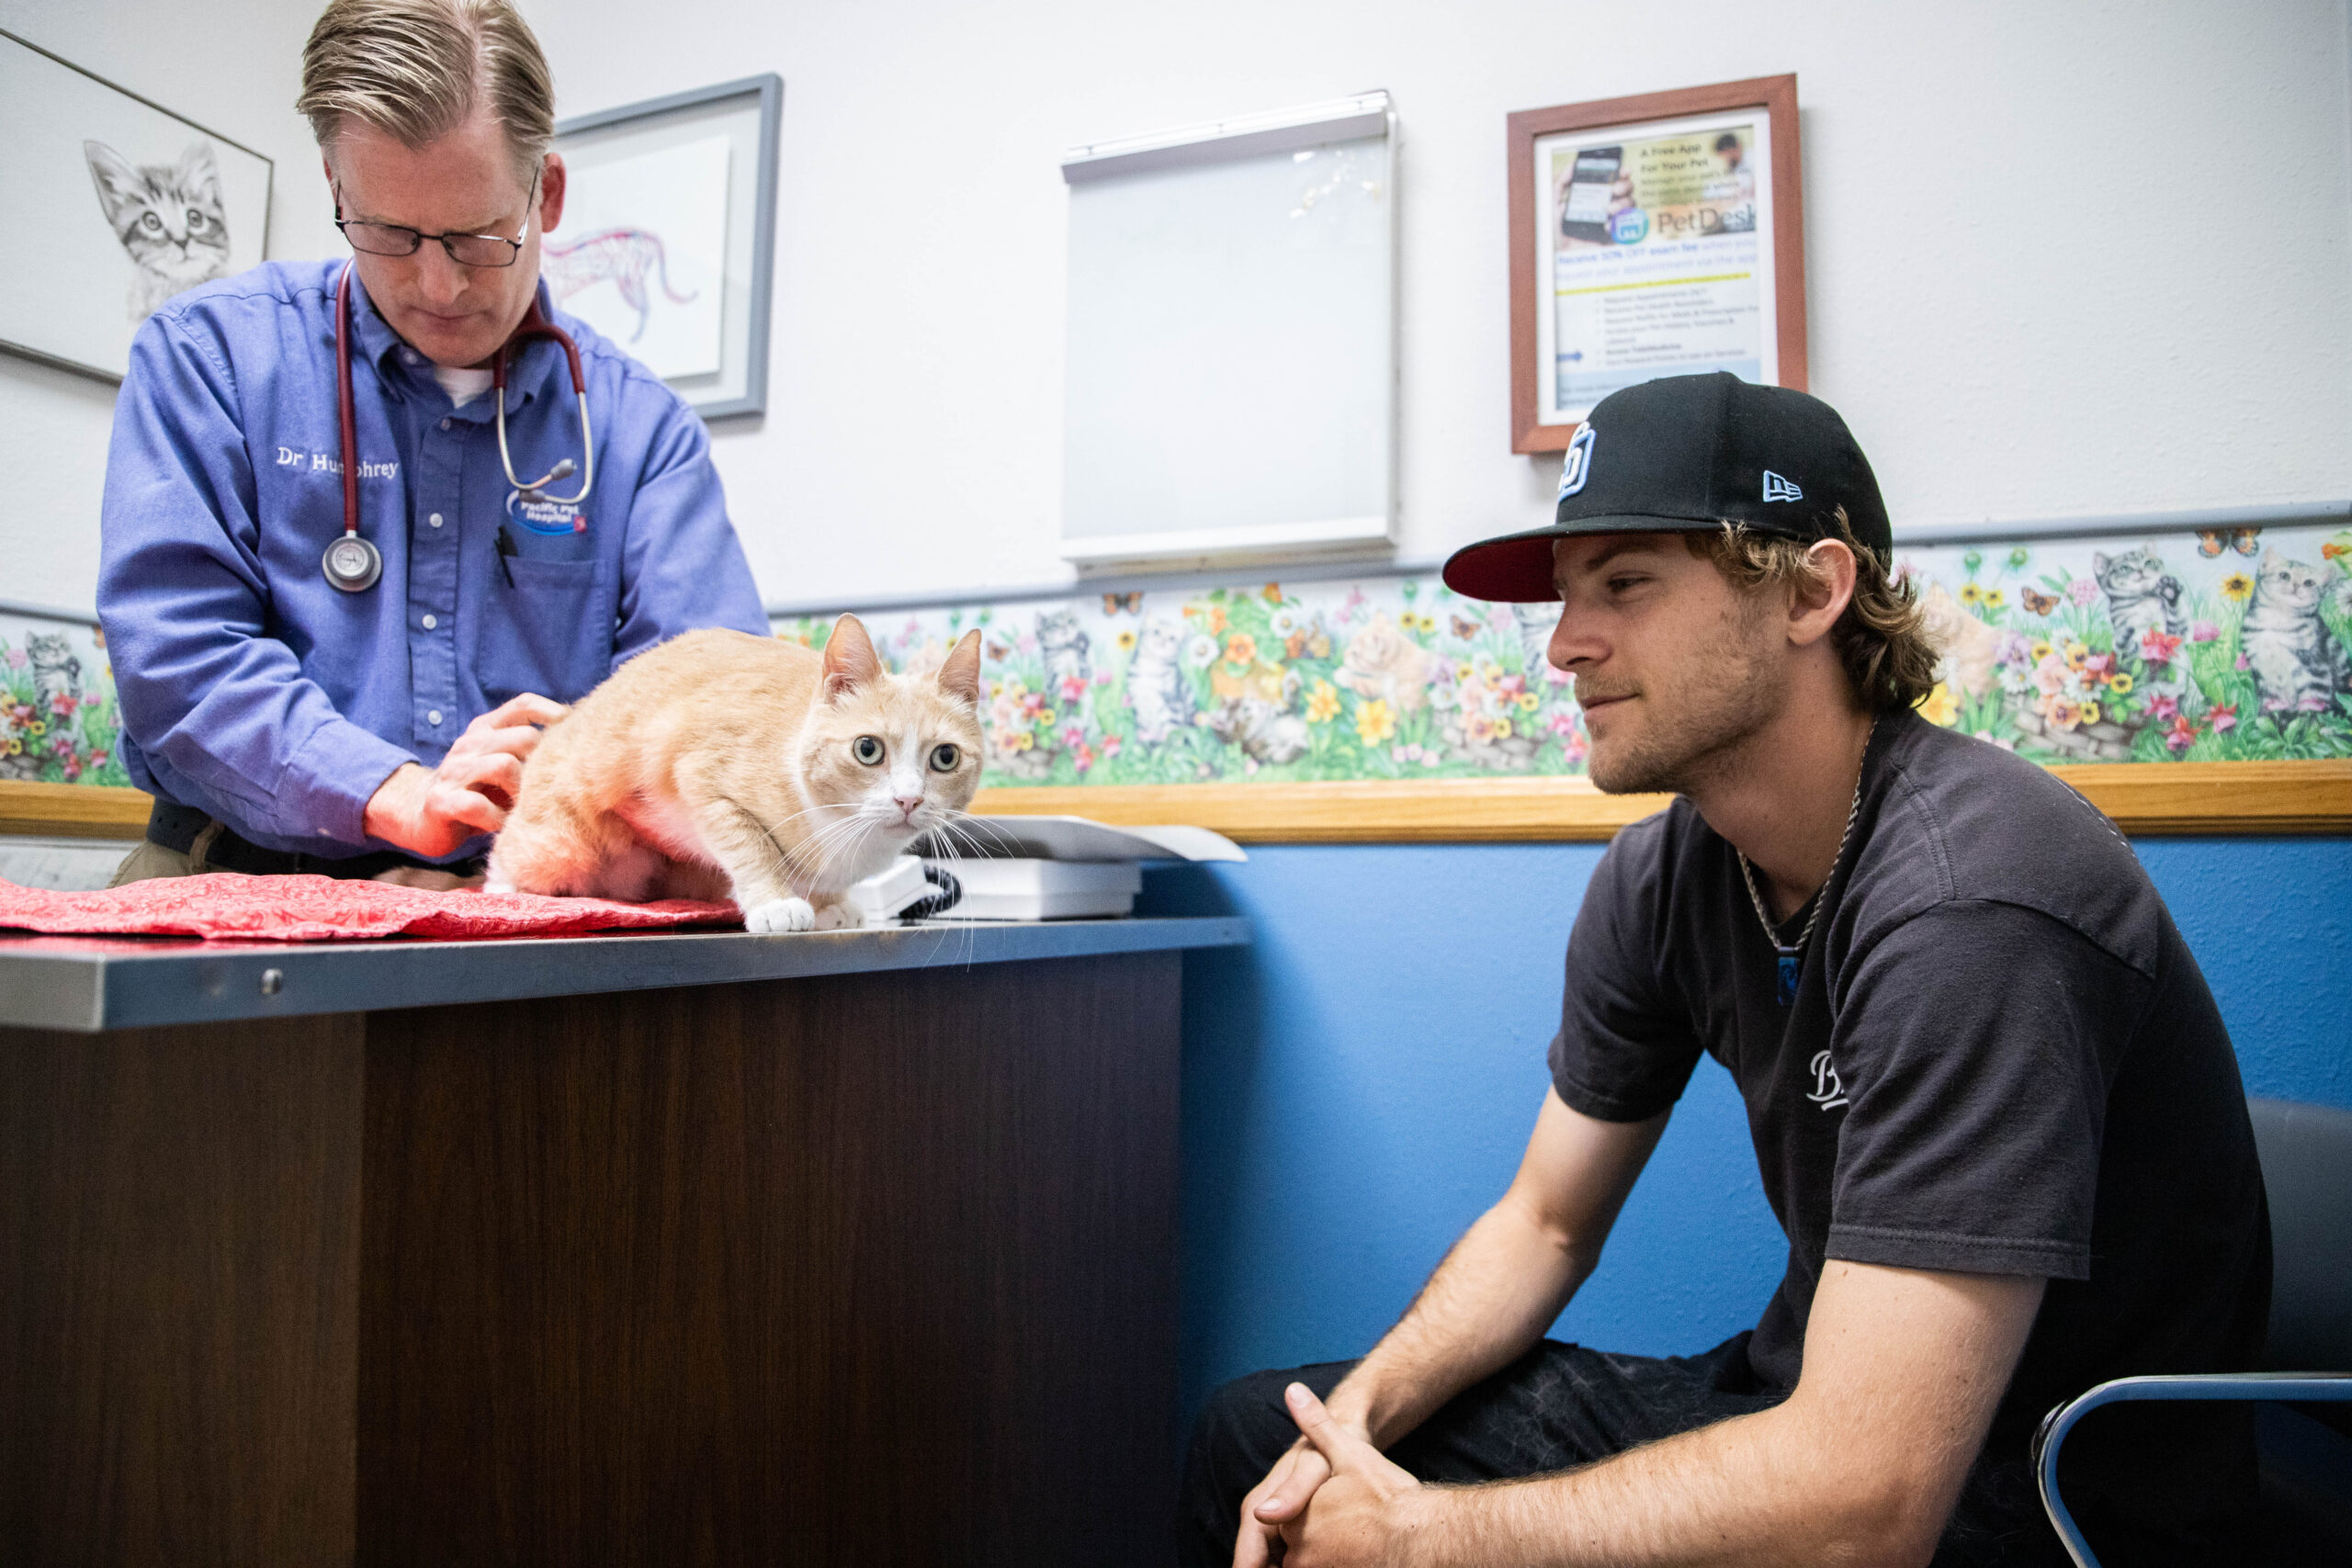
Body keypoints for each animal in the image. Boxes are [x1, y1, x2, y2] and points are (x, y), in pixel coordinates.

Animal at [486, 611, 983, 931]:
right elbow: (750, 846)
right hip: (558, 845)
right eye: (867, 749)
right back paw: (505, 894)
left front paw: (829, 904)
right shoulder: (702, 779)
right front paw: (777, 903)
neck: (845, 833)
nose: (909, 799)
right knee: (507, 856)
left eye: (945, 757)